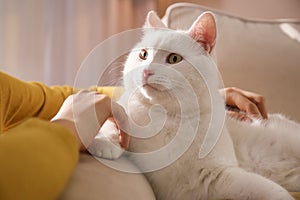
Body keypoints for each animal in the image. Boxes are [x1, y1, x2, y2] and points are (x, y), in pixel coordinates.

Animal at [88, 11, 300, 200]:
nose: (146, 71)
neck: (168, 118)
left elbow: (275, 192)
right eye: (143, 54)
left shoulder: (222, 175)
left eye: (174, 59)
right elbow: (112, 121)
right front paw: (104, 141)